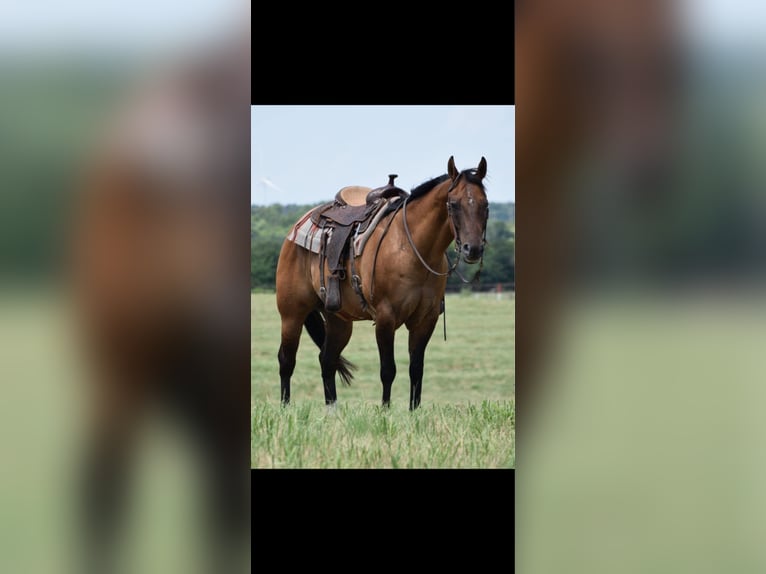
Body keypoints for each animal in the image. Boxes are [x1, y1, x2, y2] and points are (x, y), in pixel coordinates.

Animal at [275, 156, 490, 410]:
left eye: (485, 204)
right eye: (453, 204)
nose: (472, 249)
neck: (412, 247)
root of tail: (296, 228)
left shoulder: (425, 320)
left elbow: (416, 370)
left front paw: (414, 411)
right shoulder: (386, 318)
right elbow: (388, 370)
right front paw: (385, 411)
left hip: (339, 321)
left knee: (327, 360)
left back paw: (332, 410)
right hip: (292, 314)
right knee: (286, 360)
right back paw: (285, 408)